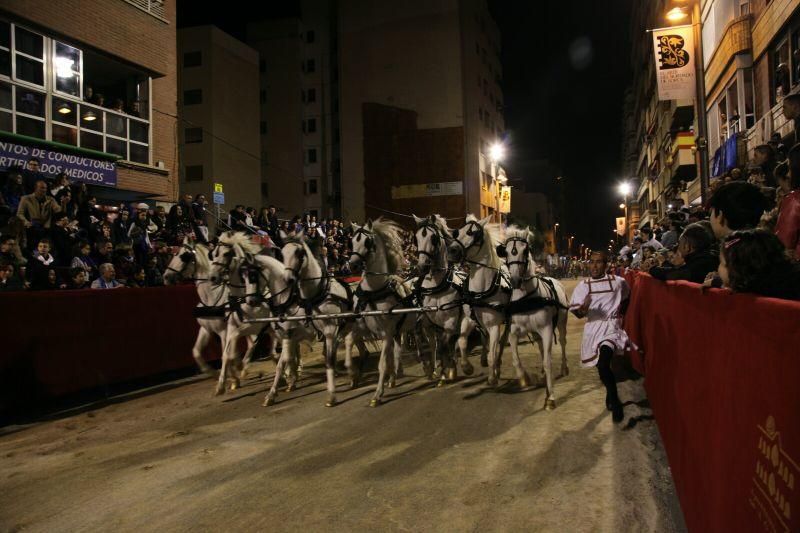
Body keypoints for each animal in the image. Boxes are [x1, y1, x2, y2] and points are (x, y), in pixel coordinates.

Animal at [282, 234, 368, 408]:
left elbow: (329, 360)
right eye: (282, 253)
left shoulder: (330, 331)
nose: (288, 279)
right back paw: (355, 375)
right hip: (353, 328)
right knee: (360, 348)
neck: (319, 293)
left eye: (299, 254)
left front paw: (331, 396)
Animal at [348, 218, 416, 406]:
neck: (373, 293)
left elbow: (382, 363)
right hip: (398, 331)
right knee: (397, 351)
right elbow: (349, 341)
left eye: (367, 242)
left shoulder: (386, 332)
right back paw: (393, 377)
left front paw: (377, 394)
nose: (352, 265)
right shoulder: (363, 328)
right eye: (352, 241)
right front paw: (352, 372)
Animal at [412, 213, 476, 382]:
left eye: (433, 238)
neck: (437, 288)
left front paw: (447, 370)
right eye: (416, 238)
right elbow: (429, 342)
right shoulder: (427, 323)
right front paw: (430, 368)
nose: (422, 266)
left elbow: (443, 345)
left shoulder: (450, 323)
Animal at [446, 215, 510, 386]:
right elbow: (461, 341)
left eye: (473, 233)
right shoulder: (469, 320)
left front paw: (493, 377)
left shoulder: (494, 325)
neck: (479, 292)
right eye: (457, 232)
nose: (451, 251)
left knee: (502, 342)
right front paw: (466, 367)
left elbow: (493, 352)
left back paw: (497, 366)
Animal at [500, 227, 568, 410]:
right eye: (506, 252)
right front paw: (524, 378)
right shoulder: (514, 331)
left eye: (525, 250)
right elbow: (516, 359)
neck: (527, 299)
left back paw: (564, 367)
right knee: (540, 347)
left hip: (561, 323)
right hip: (536, 333)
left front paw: (550, 397)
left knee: (563, 342)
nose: (515, 280)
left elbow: (547, 361)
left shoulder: (546, 330)